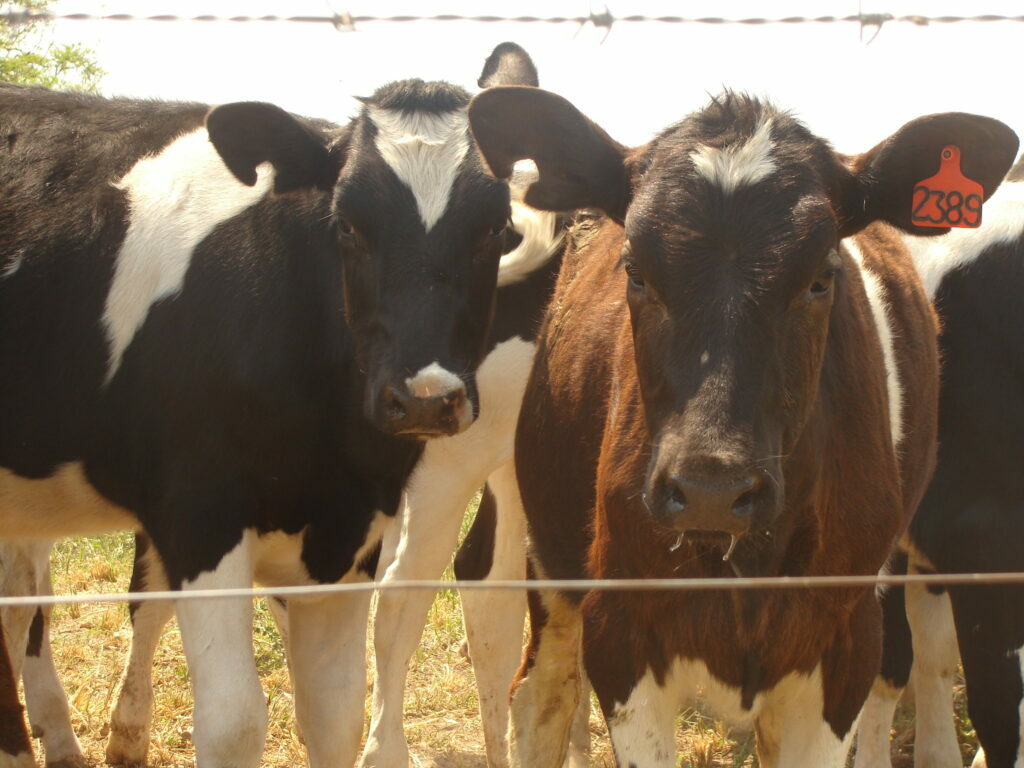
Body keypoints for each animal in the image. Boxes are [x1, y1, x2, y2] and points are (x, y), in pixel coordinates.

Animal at [0, 45, 557, 768]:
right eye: (347, 223)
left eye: (497, 228)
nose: (425, 399)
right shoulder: (199, 514)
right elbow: (234, 722)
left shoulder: (346, 535)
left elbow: (335, 714)